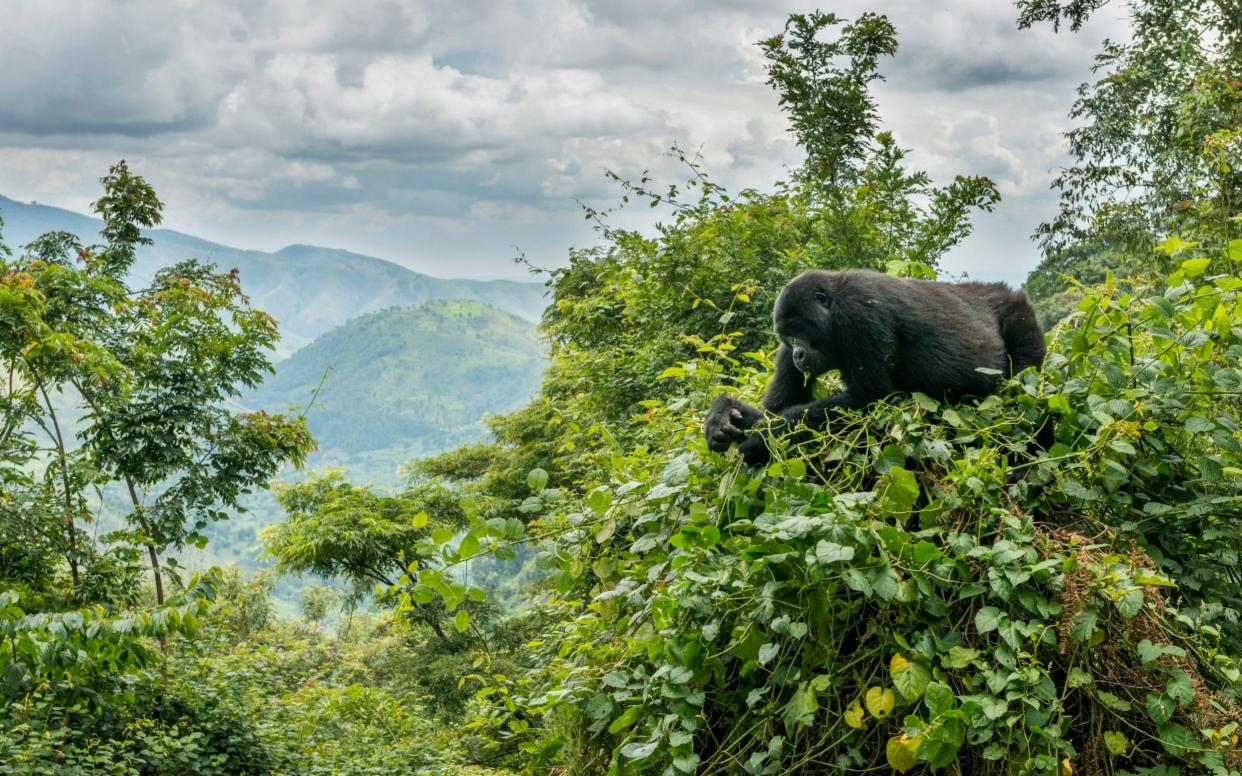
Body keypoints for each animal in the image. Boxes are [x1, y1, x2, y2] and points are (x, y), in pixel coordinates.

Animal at [705, 269, 1043, 461]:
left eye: (799, 331)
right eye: (787, 337)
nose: (798, 354)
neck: (833, 299)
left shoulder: (858, 313)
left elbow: (869, 399)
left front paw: (762, 437)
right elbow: (779, 405)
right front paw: (723, 415)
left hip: (1021, 321)